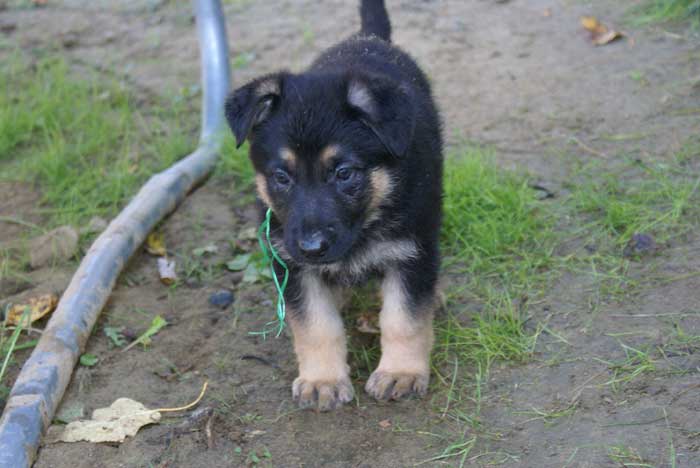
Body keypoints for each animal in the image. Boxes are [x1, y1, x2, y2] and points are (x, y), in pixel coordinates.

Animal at [226, 0, 442, 412]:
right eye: (282, 177)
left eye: (344, 174)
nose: (312, 248)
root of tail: (367, 38)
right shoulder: (291, 263)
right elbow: (316, 325)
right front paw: (322, 380)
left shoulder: (410, 251)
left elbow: (403, 318)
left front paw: (401, 372)